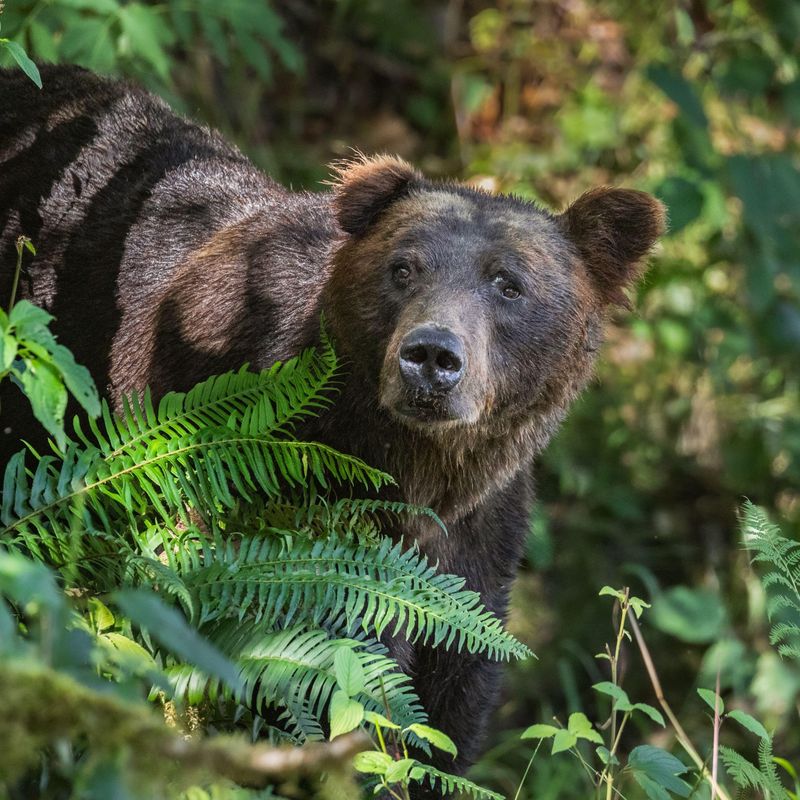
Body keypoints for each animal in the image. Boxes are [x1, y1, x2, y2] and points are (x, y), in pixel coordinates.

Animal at [0, 64, 665, 794]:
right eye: (403, 267)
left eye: (509, 283)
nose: (431, 356)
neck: (411, 468)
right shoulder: (274, 509)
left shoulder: (478, 547)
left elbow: (450, 706)